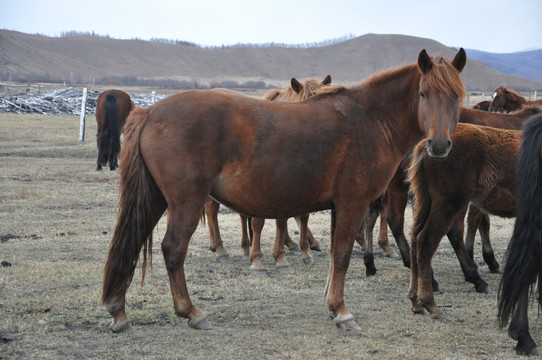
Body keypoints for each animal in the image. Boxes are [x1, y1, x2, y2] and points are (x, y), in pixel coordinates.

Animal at [412, 122, 528, 320]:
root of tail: (426, 146)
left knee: (416, 236)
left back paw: (415, 301)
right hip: (450, 204)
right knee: (426, 240)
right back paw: (431, 304)